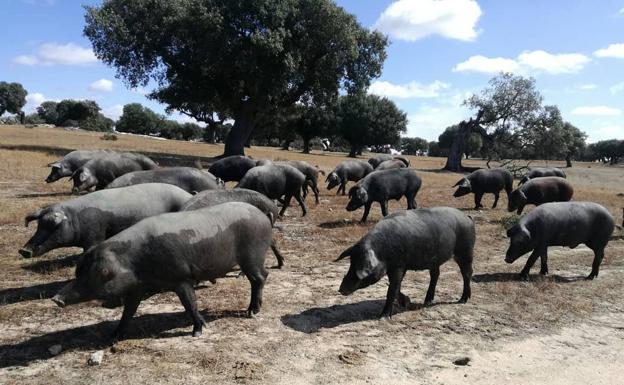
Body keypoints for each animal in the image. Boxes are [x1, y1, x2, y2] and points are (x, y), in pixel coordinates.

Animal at [18, 183, 190, 258]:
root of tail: (187, 194)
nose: (24, 250)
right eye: (38, 225)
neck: (75, 218)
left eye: (53, 226)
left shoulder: (94, 236)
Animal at [54, 202, 274, 338]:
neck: (136, 263)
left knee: (260, 277)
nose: (56, 299)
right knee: (262, 277)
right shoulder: (136, 288)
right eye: (77, 271)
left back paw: (251, 312)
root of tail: (262, 216)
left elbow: (190, 304)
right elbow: (128, 312)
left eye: (92, 274)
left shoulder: (181, 279)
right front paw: (113, 335)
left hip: (252, 257)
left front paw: (197, 331)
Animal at [338, 207, 476, 318]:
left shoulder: (399, 265)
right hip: (435, 259)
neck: (382, 251)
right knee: (435, 275)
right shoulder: (396, 268)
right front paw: (406, 302)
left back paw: (462, 300)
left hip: (465, 251)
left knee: (467, 273)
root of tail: (467, 218)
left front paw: (383, 317)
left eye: (360, 267)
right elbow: (396, 287)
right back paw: (427, 301)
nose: (341, 289)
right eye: (351, 262)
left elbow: (392, 290)